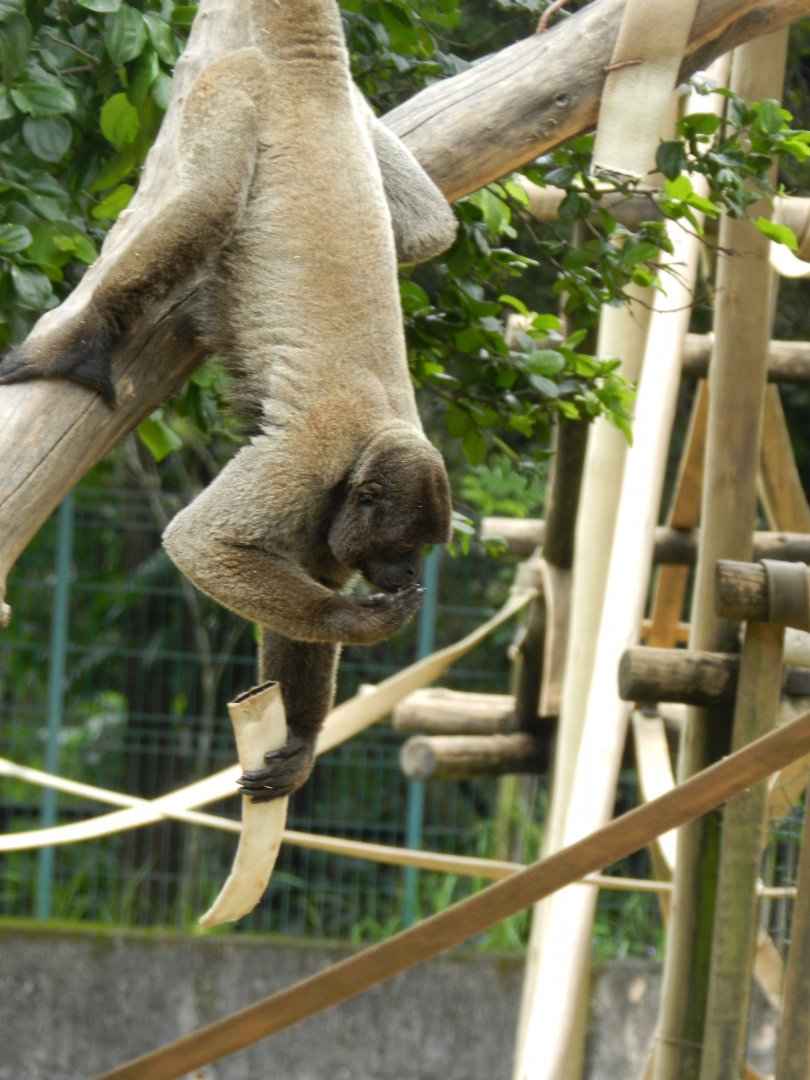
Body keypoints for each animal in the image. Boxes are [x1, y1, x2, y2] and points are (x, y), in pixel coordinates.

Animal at [0, 0, 455, 800]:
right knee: (210, 200)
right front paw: (356, 620)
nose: (405, 576)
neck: (378, 436)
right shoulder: (309, 462)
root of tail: (314, 87)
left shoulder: (326, 508)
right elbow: (198, 543)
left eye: (420, 552)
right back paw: (79, 344)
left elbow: (302, 598)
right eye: (401, 548)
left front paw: (301, 740)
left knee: (429, 230)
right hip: (236, 89)